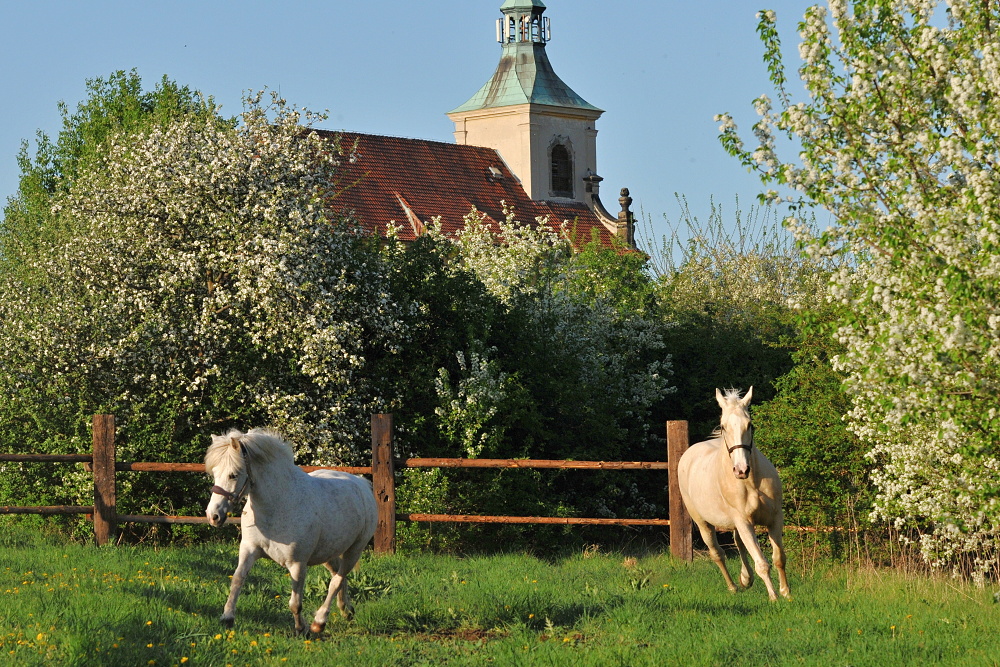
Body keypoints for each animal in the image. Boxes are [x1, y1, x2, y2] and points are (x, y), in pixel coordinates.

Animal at [205, 430, 376, 636]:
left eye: (233, 475)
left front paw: (301, 628)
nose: (213, 516)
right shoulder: (249, 550)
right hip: (329, 553)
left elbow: (295, 603)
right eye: (215, 473)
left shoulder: (297, 563)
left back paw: (319, 622)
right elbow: (237, 580)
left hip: (354, 550)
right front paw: (228, 617)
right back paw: (346, 610)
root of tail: (361, 484)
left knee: (337, 580)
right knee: (338, 576)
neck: (277, 506)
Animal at [676, 386, 792, 600]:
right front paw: (773, 597)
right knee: (717, 553)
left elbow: (779, 558)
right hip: (703, 523)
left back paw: (746, 579)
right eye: (723, 426)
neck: (752, 482)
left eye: (750, 424)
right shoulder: (743, 521)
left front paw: (786, 593)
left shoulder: (775, 518)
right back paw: (733, 587)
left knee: (738, 544)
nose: (741, 470)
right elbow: (762, 563)